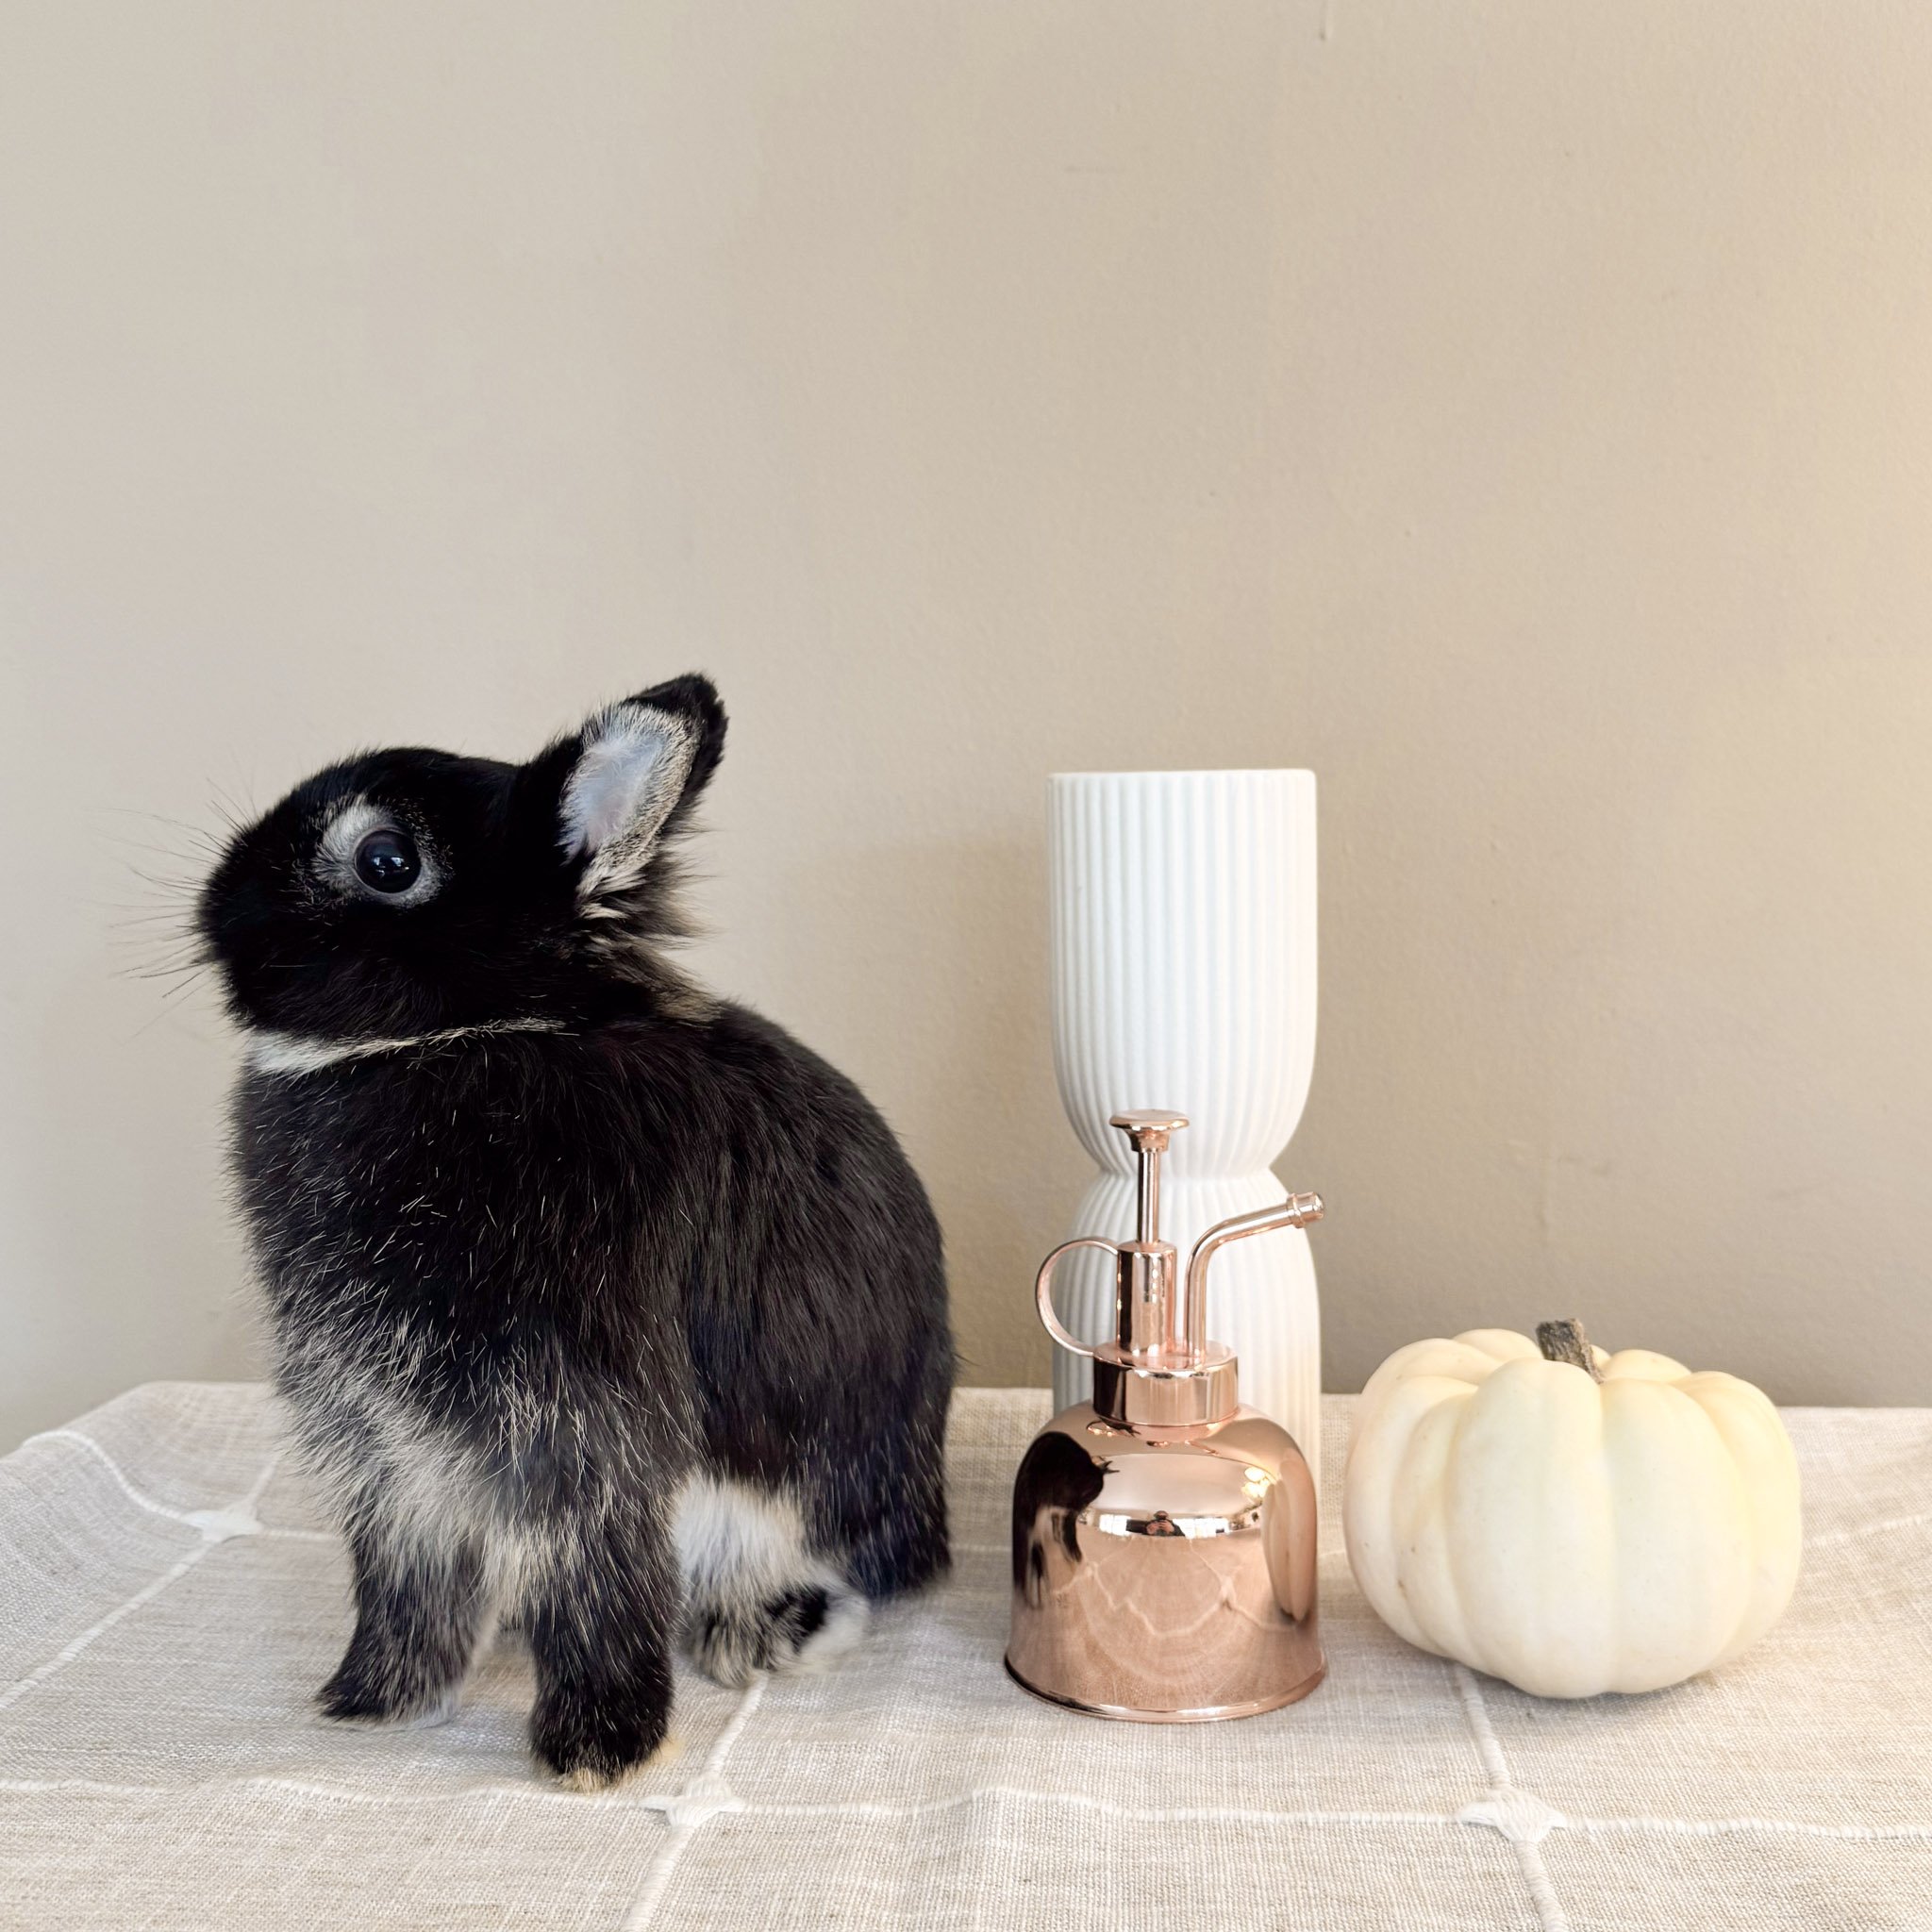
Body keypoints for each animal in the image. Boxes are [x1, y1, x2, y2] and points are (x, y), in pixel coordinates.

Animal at [197, 673, 955, 1787]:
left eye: (386, 860)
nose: (219, 895)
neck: (465, 1036)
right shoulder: (387, 1440)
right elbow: (409, 1573)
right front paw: (374, 1701)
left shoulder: (581, 1418)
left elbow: (599, 1573)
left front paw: (599, 1751)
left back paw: (758, 1633)